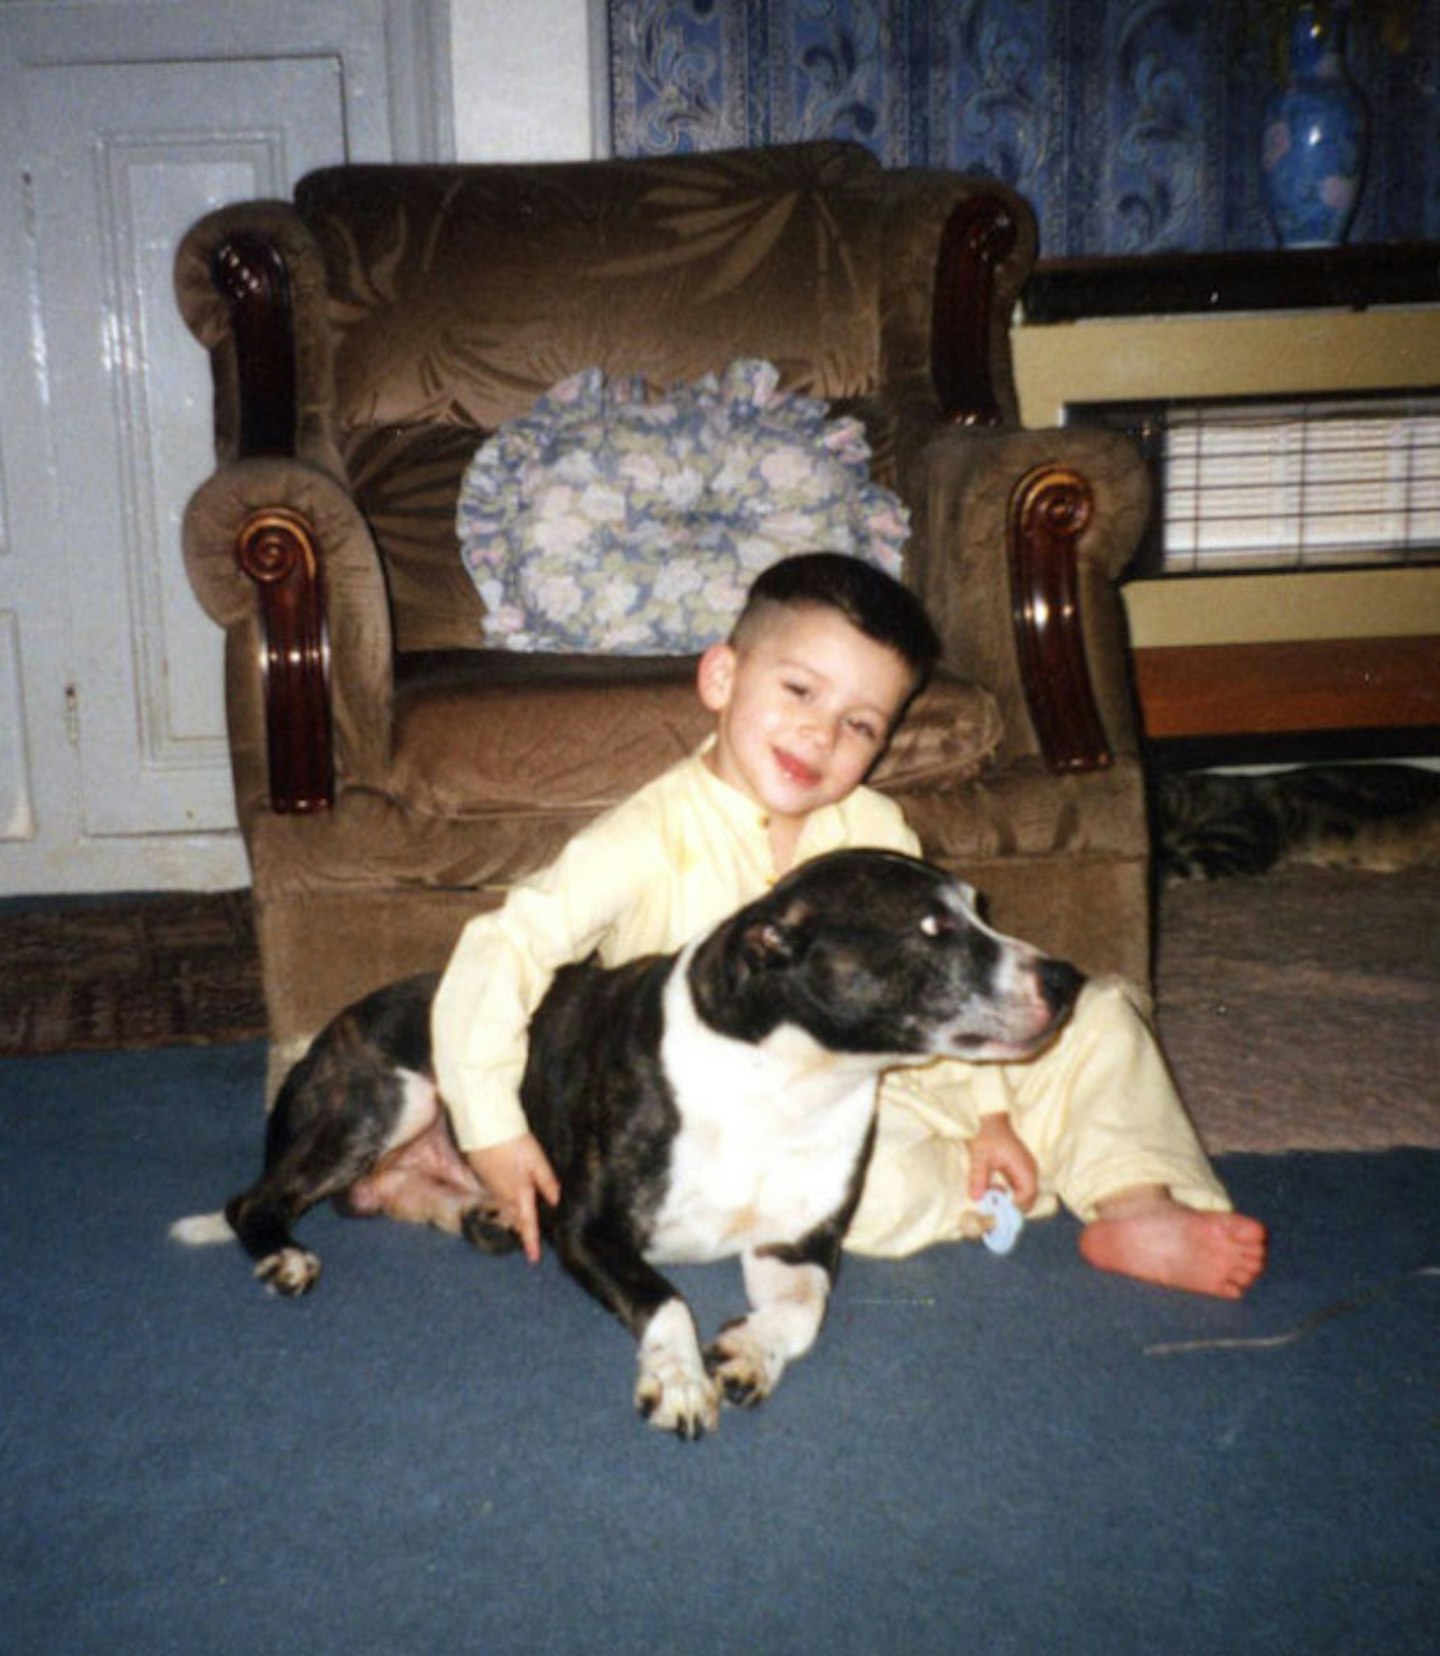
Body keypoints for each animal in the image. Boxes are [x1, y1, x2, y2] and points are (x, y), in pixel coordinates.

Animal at [174, 854, 1079, 1437]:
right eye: (929, 927)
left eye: (980, 907)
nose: (1066, 977)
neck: (789, 1078)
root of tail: (323, 1039)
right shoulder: (591, 1228)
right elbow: (666, 1297)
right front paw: (676, 1379)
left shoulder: (796, 1244)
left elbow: (804, 1314)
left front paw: (749, 1351)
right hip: (389, 1094)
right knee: (258, 1199)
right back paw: (284, 1255)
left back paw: (485, 1217)